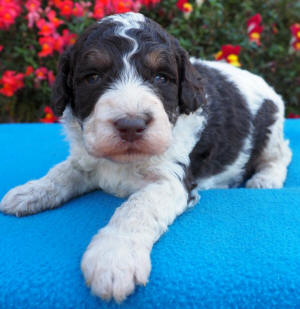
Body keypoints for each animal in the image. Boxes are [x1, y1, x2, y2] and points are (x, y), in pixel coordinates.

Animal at [0, 12, 290, 300]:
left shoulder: (172, 179)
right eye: (93, 77)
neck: (124, 161)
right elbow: (61, 173)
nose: (131, 125)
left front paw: (113, 259)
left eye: (161, 78)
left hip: (271, 129)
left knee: (282, 154)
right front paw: (30, 192)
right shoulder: (87, 158)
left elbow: (137, 208)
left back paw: (265, 178)